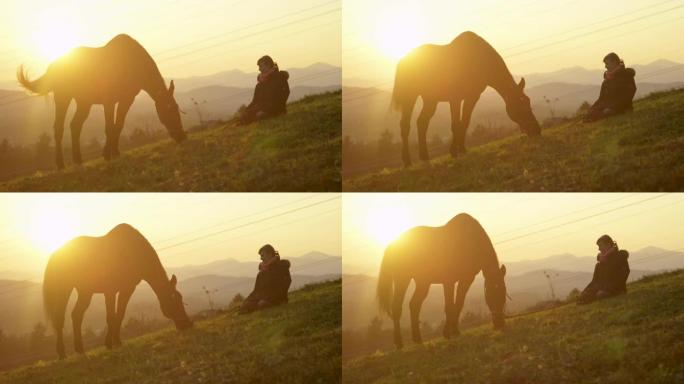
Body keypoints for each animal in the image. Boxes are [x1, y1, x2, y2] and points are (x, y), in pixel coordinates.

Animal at [17, 33, 186, 170]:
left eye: (176, 107)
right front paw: (107, 155)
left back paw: (78, 160)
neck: (130, 63)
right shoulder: (109, 101)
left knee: (75, 126)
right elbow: (109, 127)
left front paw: (115, 153)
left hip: (84, 103)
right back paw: (61, 165)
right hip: (63, 98)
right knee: (59, 128)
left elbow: (118, 125)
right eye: (168, 109)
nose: (181, 137)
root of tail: (52, 66)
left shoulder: (126, 100)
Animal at [42, 224, 192, 358]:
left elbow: (119, 314)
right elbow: (110, 317)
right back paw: (62, 353)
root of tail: (55, 253)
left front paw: (117, 342)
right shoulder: (110, 291)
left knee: (76, 315)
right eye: (173, 300)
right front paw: (109, 343)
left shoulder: (128, 289)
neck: (132, 253)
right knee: (60, 319)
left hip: (85, 292)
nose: (187, 324)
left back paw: (80, 349)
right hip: (65, 289)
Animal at [376, 213, 504, 348]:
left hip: (423, 283)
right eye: (491, 294)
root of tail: (392, 245)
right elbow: (449, 306)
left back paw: (417, 339)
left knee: (414, 305)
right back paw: (399, 343)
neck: (469, 242)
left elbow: (458, 304)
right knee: (397, 307)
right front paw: (447, 333)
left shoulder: (466, 279)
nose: (499, 323)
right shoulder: (449, 281)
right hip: (402, 279)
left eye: (503, 294)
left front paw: (455, 331)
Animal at [390, 30, 540, 166]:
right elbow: (456, 124)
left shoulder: (472, 97)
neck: (475, 61)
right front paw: (453, 152)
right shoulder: (455, 99)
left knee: (422, 123)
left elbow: (465, 122)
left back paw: (424, 157)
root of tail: (403, 60)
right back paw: (407, 161)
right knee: (405, 125)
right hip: (410, 97)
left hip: (431, 100)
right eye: (521, 106)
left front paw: (462, 149)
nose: (536, 130)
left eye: (528, 102)